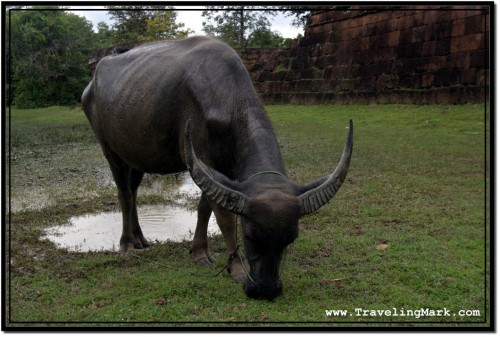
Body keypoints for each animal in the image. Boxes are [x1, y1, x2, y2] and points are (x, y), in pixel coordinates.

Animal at [82, 36, 354, 300]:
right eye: (250, 236)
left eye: (291, 238)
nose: (266, 290)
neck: (228, 100)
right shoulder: (202, 158)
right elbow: (223, 215)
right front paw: (237, 269)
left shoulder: (223, 171)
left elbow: (204, 208)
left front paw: (200, 252)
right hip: (109, 149)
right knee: (124, 194)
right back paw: (127, 243)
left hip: (135, 155)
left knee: (134, 190)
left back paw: (141, 239)